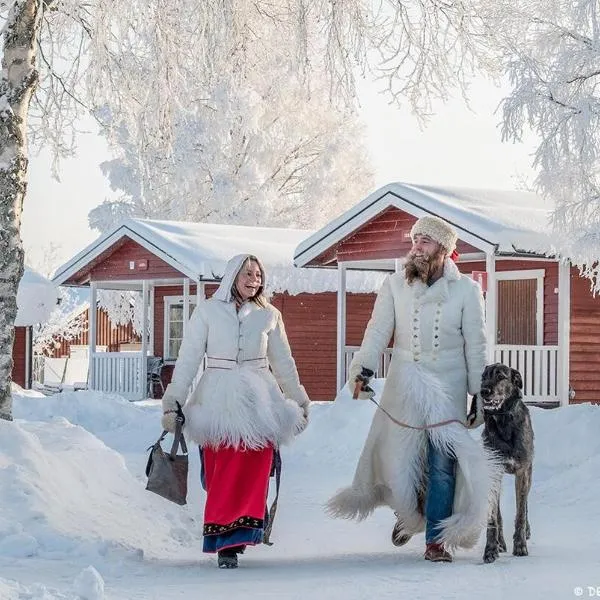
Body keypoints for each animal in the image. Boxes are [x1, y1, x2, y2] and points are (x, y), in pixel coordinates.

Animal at [468, 364, 536, 564]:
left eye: (500, 376)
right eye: (483, 377)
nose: (484, 391)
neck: (504, 421)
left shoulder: (522, 472)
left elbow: (520, 513)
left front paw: (520, 546)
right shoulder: (493, 471)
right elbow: (492, 516)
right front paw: (490, 549)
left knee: (525, 505)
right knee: (497, 510)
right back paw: (500, 542)